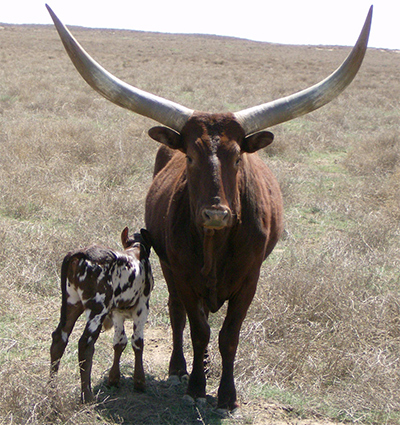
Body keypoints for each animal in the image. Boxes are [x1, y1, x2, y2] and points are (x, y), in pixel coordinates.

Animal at [50, 225, 154, 400]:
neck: (136, 250)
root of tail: (81, 253)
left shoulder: (117, 311)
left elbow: (120, 341)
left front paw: (114, 378)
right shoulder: (142, 306)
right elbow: (137, 342)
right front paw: (140, 381)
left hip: (72, 302)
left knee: (59, 338)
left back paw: (51, 389)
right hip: (98, 308)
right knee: (85, 344)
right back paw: (87, 396)